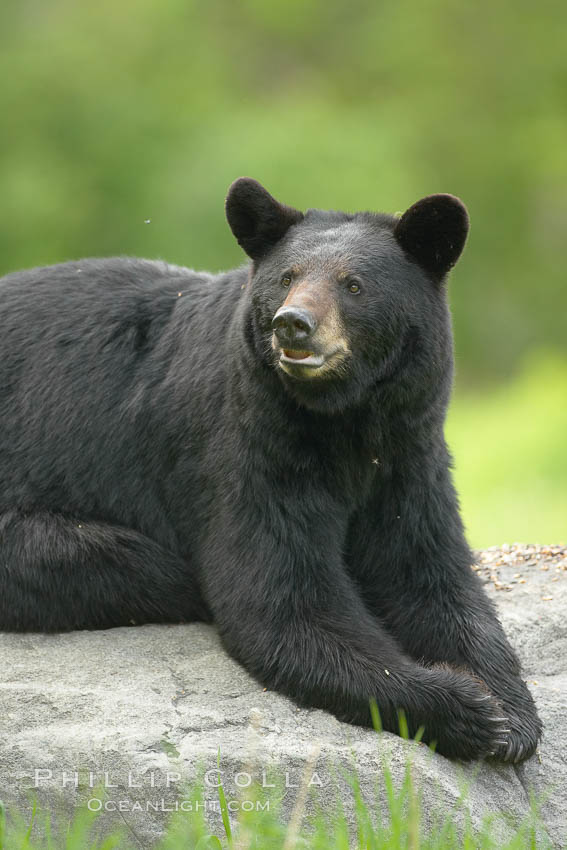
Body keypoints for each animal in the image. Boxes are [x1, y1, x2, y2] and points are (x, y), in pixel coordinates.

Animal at [0, 179, 540, 760]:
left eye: (354, 285)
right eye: (287, 278)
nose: (293, 324)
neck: (342, 423)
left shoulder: (408, 456)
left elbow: (430, 573)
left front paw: (510, 711)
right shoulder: (250, 447)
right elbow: (285, 598)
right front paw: (466, 707)